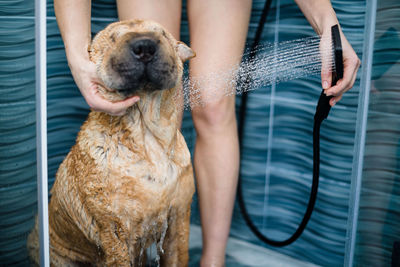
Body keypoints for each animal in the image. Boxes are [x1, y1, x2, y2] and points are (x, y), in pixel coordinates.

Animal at [27, 19, 195, 267]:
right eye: (113, 38)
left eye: (163, 34)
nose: (145, 46)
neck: (147, 136)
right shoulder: (115, 232)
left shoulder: (178, 220)